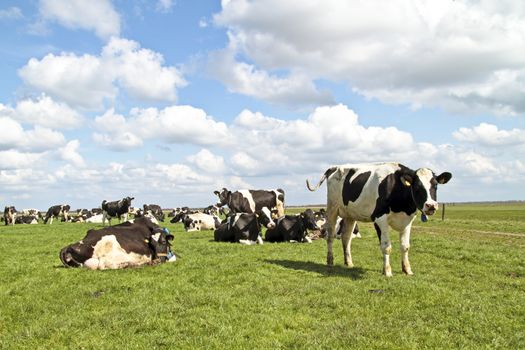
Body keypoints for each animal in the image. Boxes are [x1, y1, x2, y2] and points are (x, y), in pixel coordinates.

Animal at [308, 163, 450, 278]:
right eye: (417, 187)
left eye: (435, 185)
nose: (431, 206)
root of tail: (334, 167)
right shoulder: (380, 219)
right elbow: (386, 247)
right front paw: (387, 271)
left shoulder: (407, 221)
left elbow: (405, 247)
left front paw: (407, 270)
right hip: (332, 209)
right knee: (330, 236)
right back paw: (330, 261)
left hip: (350, 215)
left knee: (346, 237)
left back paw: (349, 262)